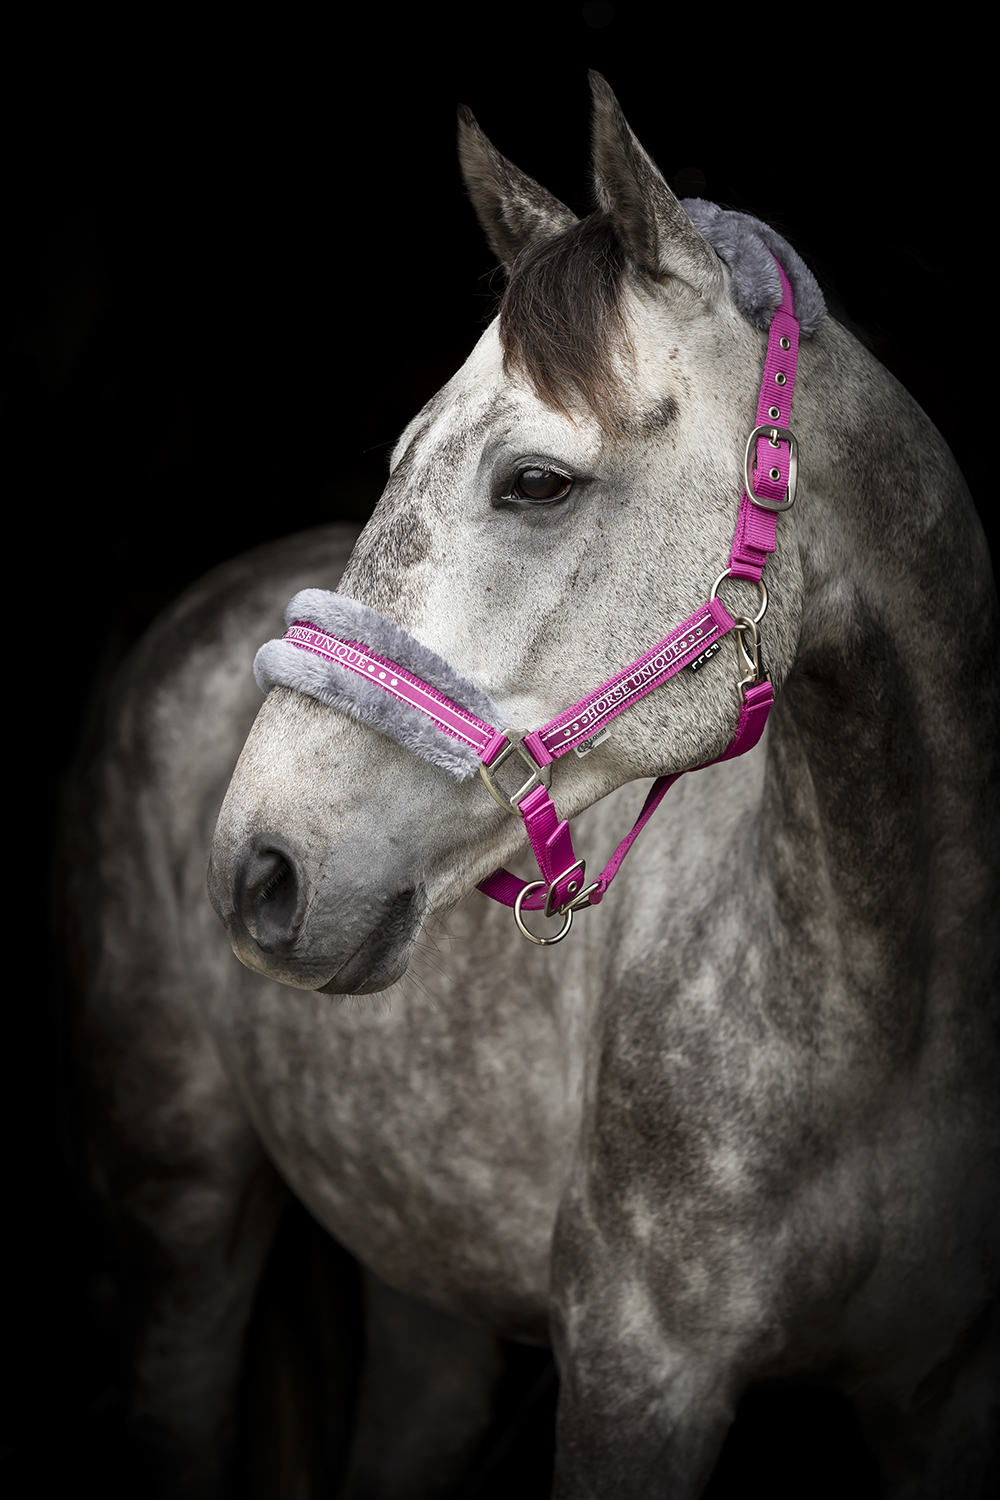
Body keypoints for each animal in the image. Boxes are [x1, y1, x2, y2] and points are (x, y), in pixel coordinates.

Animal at [79, 73, 998, 1497]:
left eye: (535, 480)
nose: (259, 870)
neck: (889, 1015)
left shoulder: (943, 1394)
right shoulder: (635, 1379)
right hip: (179, 1216)